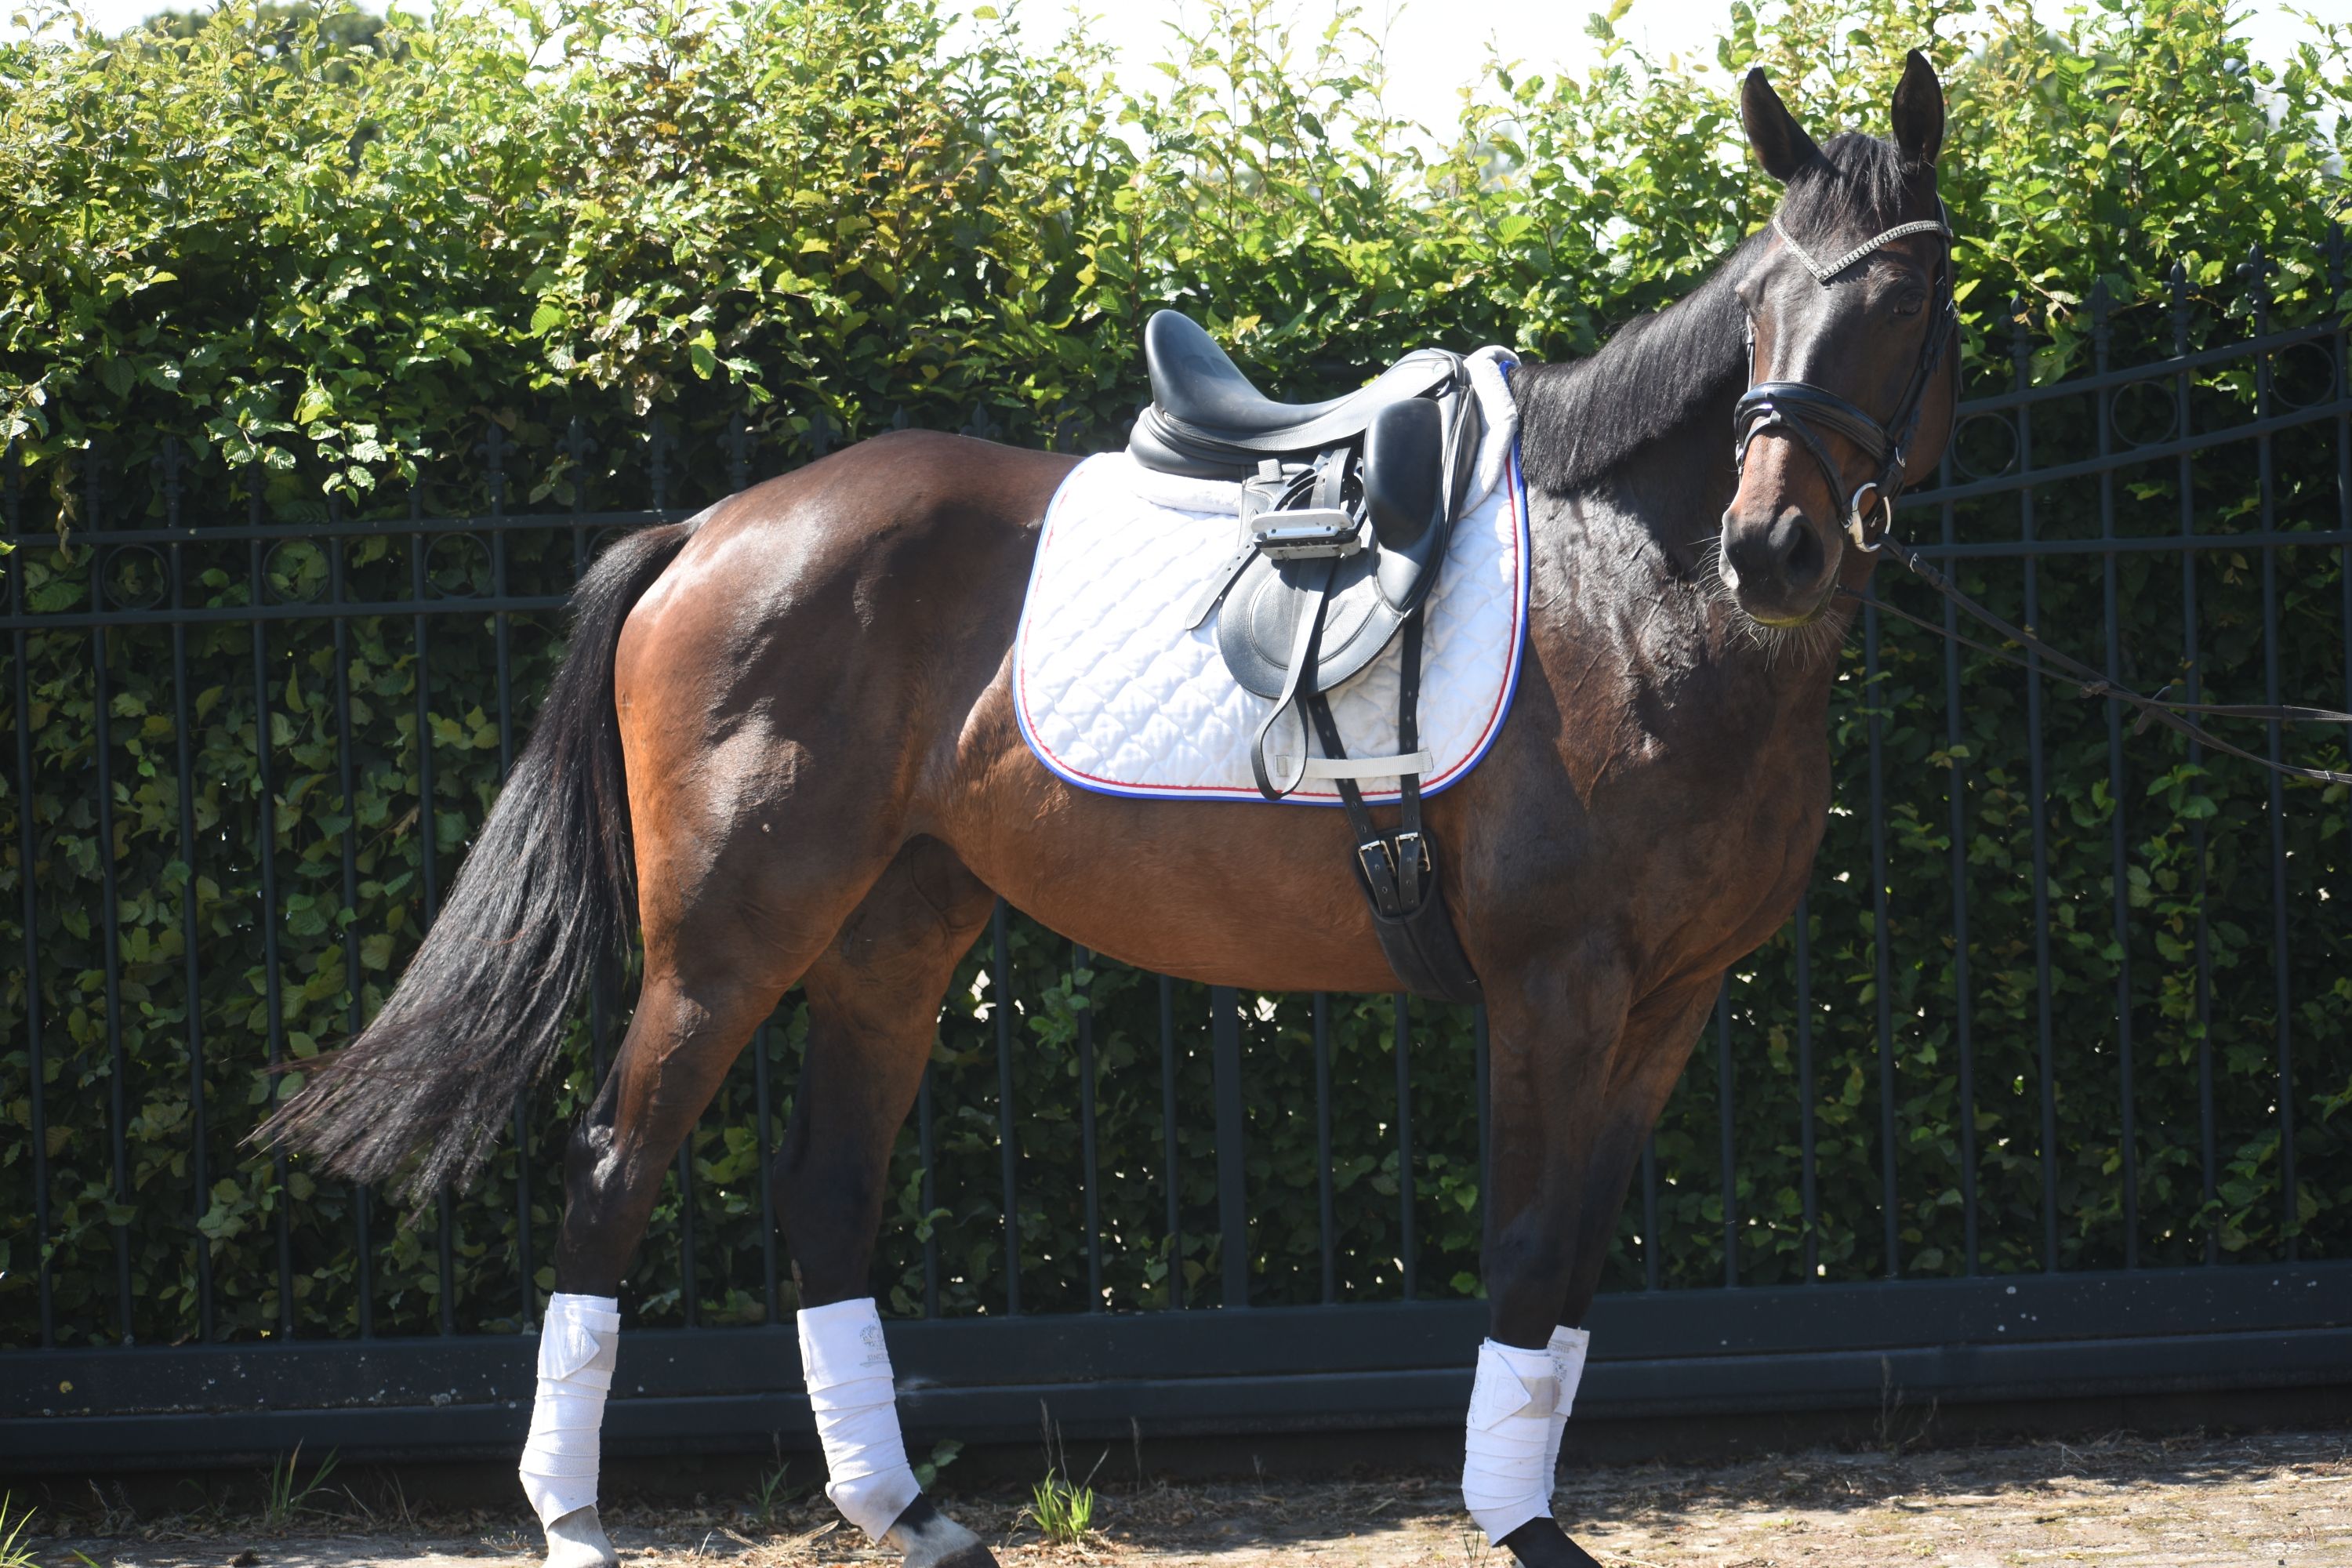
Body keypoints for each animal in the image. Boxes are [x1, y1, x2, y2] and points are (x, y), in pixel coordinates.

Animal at [266, 52, 1960, 1568]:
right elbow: (1531, 1251)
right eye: (1763, 303)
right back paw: (575, 1521)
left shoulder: (1673, 999)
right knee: (616, 1166)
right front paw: (1520, 1524)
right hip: (728, 941)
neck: (1637, 602)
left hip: (892, 937)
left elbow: (1581, 1260)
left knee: (827, 1191)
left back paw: (909, 1514)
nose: (1773, 547)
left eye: (1904, 301)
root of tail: (710, 530)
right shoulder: (1554, 986)